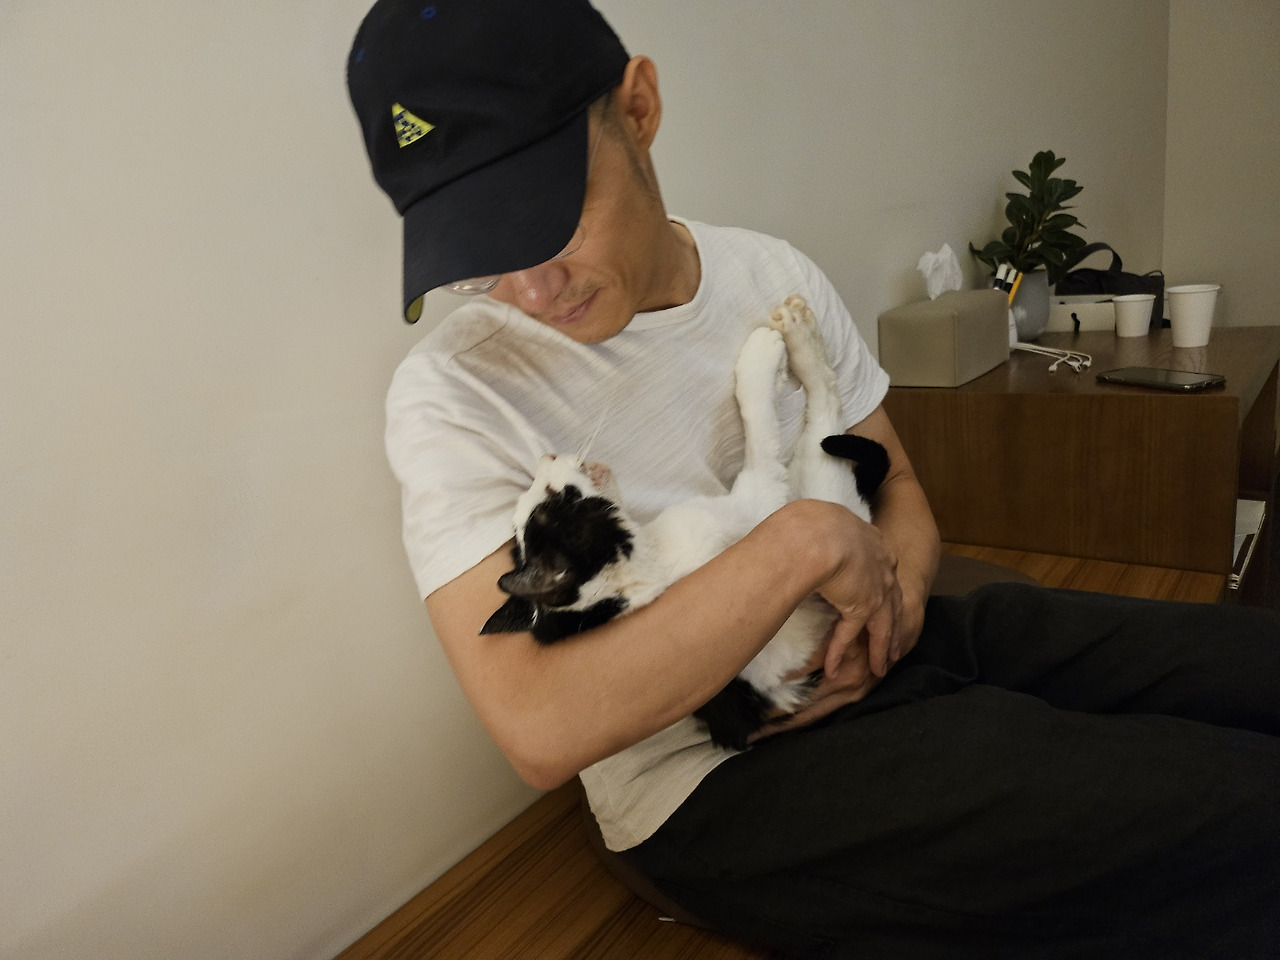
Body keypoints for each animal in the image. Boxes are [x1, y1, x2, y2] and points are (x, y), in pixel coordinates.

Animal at [480, 296, 888, 750]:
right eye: (555, 497)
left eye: (539, 496)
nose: (546, 456)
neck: (647, 573)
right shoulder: (759, 499)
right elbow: (761, 427)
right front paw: (761, 357)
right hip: (822, 490)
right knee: (824, 417)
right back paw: (798, 334)